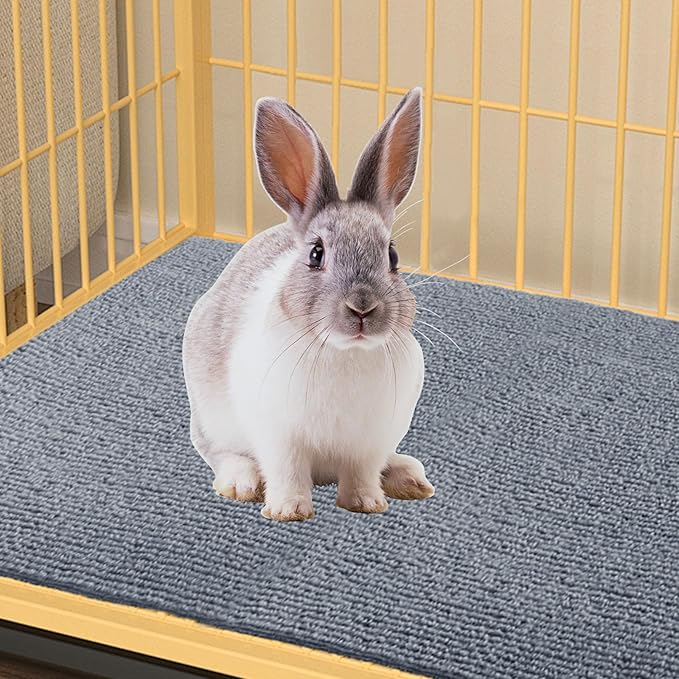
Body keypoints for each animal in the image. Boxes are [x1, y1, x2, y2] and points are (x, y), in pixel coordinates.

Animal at [183, 87, 434, 521]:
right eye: (316, 254)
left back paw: (408, 478)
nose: (362, 308)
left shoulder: (369, 441)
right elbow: (286, 471)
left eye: (392, 256)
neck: (345, 352)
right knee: (220, 453)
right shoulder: (279, 436)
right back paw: (241, 483)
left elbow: (362, 473)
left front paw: (367, 504)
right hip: (212, 418)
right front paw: (288, 511)